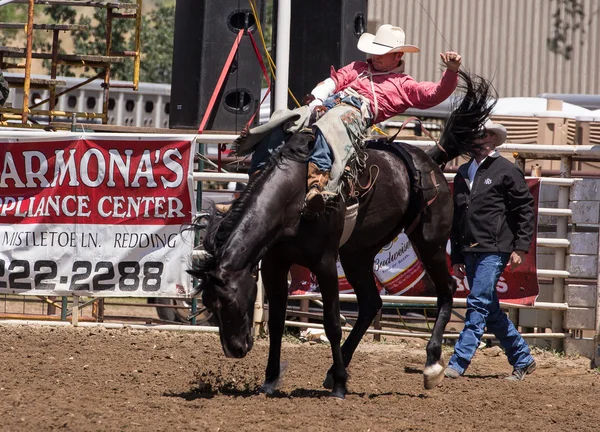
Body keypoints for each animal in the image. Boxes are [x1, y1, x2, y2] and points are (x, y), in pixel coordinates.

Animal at [190, 71, 494, 398]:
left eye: (229, 300)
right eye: (209, 303)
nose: (234, 350)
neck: (294, 197)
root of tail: (430, 160)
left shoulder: (324, 262)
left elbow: (332, 323)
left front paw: (338, 386)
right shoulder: (274, 263)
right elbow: (276, 322)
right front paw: (270, 380)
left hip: (429, 241)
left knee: (446, 289)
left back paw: (431, 364)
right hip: (357, 253)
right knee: (371, 303)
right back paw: (337, 370)